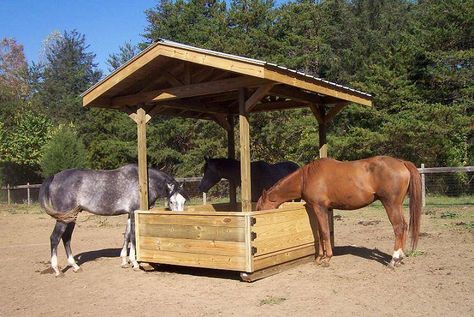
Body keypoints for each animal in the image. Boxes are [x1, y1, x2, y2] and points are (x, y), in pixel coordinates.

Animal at [39, 164, 187, 276]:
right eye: (172, 201)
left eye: (184, 201)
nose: (180, 219)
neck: (143, 183)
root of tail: (54, 177)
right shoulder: (134, 212)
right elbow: (133, 237)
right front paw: (134, 263)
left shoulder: (129, 214)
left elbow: (126, 235)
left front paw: (124, 261)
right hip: (63, 219)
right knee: (55, 238)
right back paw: (57, 270)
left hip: (71, 217)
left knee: (66, 238)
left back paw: (75, 266)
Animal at [258, 156, 420, 266]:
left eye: (259, 209)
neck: (306, 178)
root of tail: (401, 162)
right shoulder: (321, 209)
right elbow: (320, 233)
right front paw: (319, 257)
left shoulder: (319, 208)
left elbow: (324, 232)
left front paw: (327, 258)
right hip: (397, 205)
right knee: (405, 226)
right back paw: (400, 258)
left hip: (390, 204)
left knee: (398, 227)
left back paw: (394, 259)